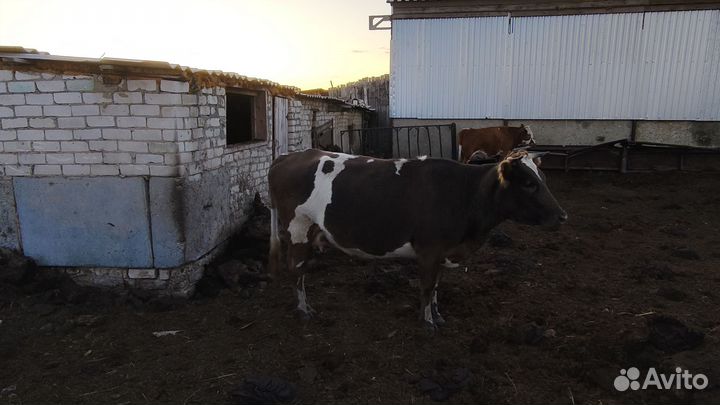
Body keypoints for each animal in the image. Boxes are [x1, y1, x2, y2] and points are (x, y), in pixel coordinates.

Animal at [268, 149, 566, 330]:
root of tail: (290, 155)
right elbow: (426, 287)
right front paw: (428, 322)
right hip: (298, 228)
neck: (464, 194)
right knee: (296, 271)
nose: (563, 215)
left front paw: (438, 316)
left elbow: (435, 288)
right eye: (528, 183)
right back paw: (304, 309)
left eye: (543, 178)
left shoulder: (443, 252)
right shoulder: (430, 250)